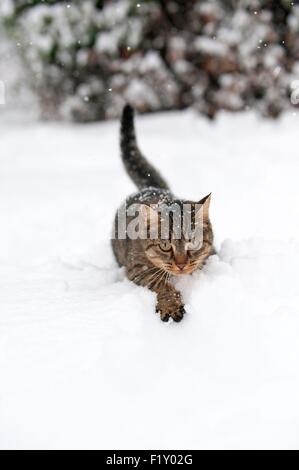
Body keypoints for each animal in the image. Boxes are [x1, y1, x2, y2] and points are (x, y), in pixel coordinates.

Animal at [111, 104, 214, 322]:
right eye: (165, 246)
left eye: (193, 242)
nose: (182, 264)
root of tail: (150, 186)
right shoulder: (138, 269)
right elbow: (161, 284)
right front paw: (171, 304)